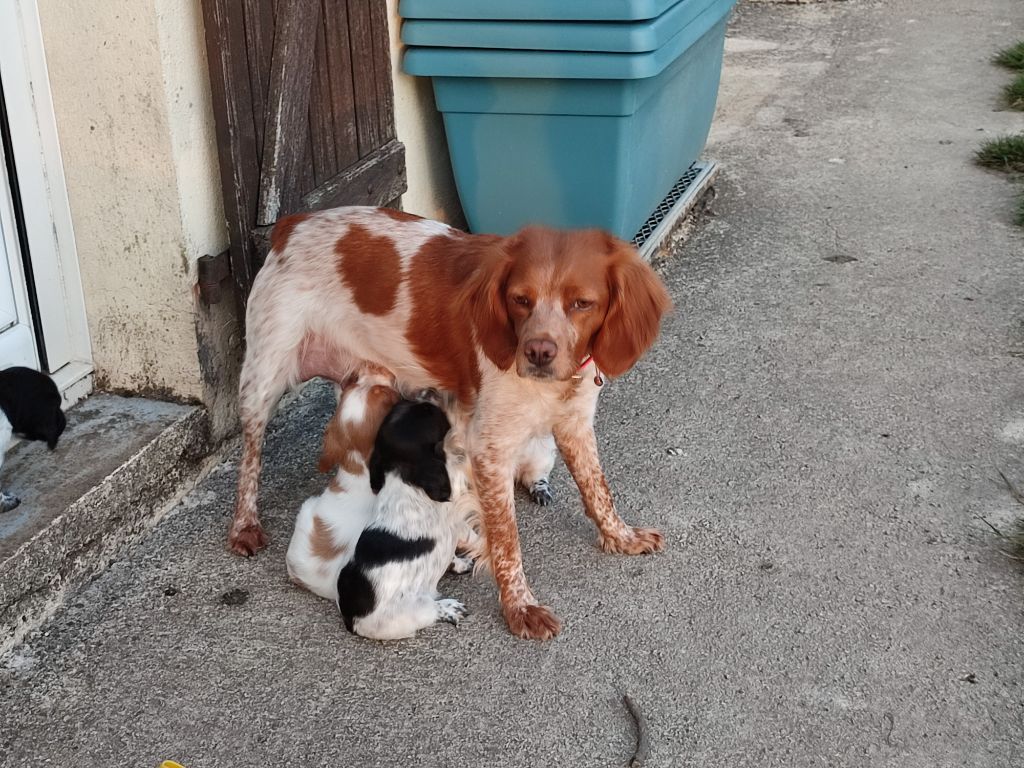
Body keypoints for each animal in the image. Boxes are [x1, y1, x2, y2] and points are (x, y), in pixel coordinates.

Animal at [339, 399, 475, 638]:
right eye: (428, 411)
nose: (429, 396)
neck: (401, 473)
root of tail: (352, 621)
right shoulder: (451, 489)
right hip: (415, 611)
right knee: (432, 609)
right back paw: (449, 608)